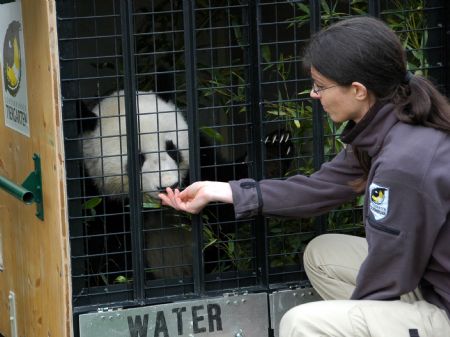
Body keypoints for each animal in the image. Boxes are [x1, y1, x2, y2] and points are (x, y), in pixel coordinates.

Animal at [79, 88, 294, 280]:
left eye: (172, 149)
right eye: (137, 159)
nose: (170, 185)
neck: (157, 210)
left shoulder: (201, 159)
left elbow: (224, 204)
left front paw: (273, 153)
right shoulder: (96, 199)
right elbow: (107, 258)